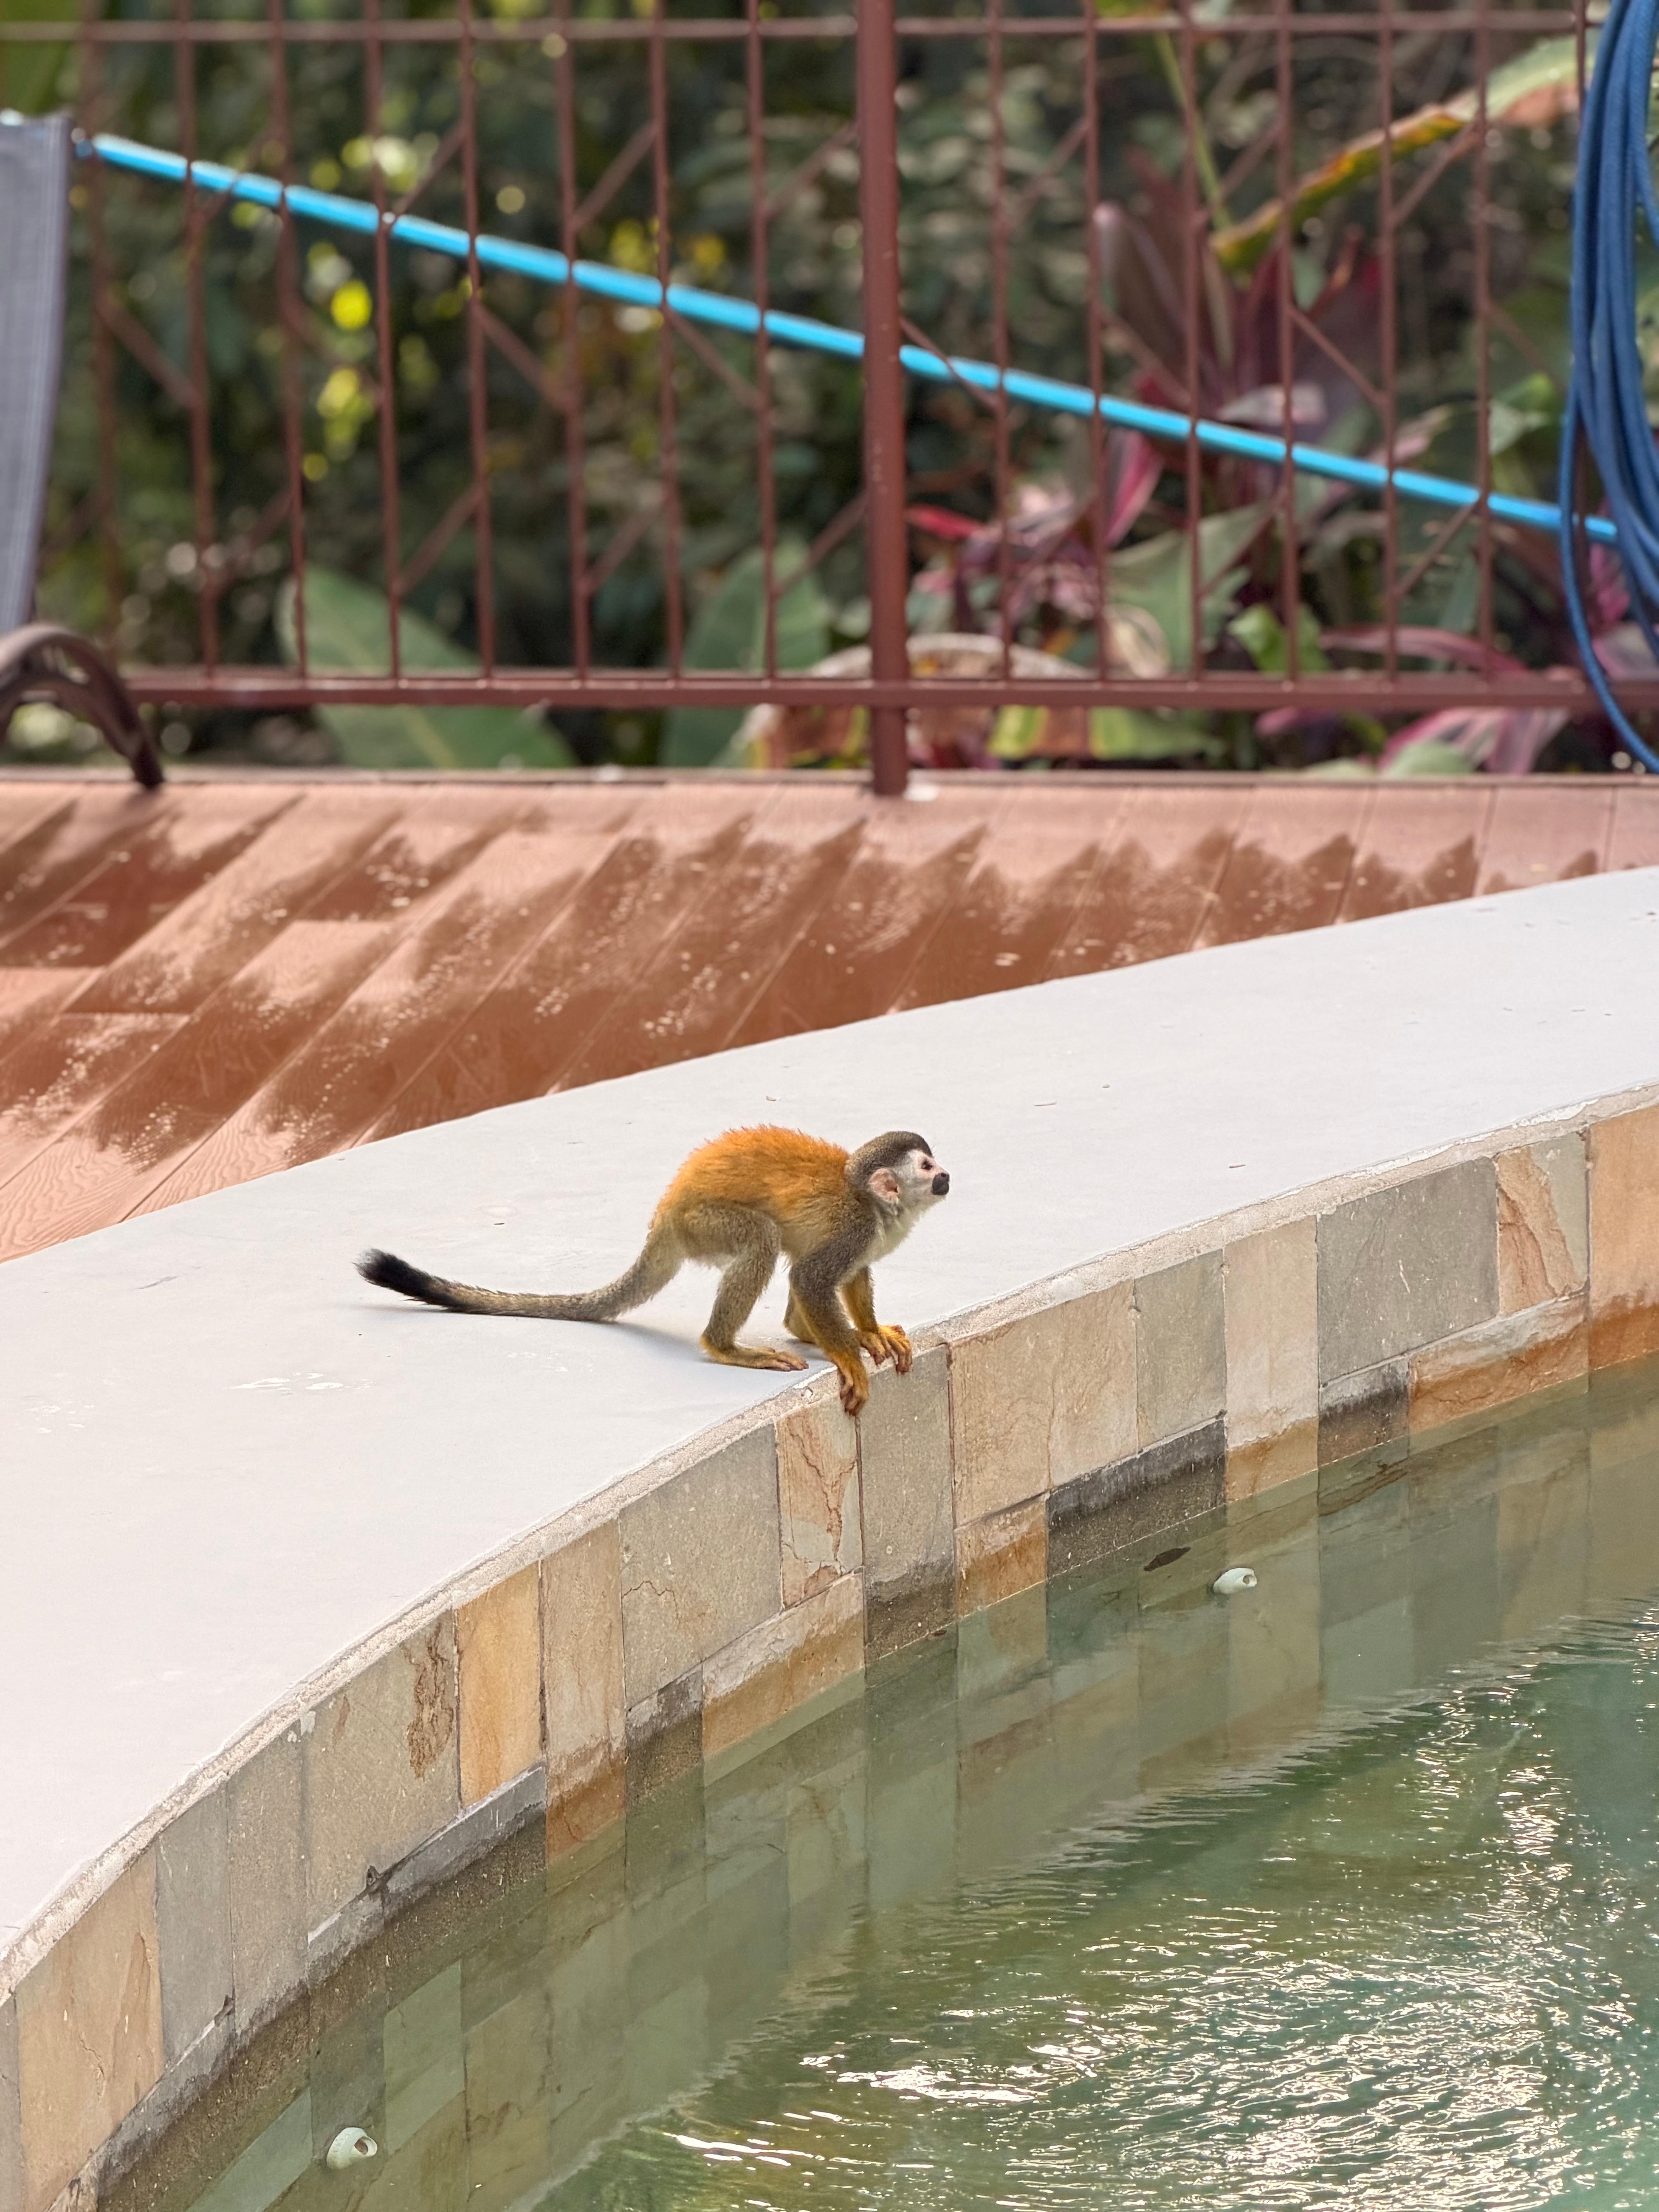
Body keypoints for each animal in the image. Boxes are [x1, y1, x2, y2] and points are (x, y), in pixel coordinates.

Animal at [356, 1127, 950, 1416]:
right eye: (925, 1167)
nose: (947, 1175)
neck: (876, 1206)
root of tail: (667, 1209)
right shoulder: (856, 1226)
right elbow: (811, 1277)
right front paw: (848, 1356)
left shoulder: (868, 1237)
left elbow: (840, 1274)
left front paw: (867, 1333)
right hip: (703, 1222)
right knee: (763, 1240)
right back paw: (726, 1346)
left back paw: (804, 1330)